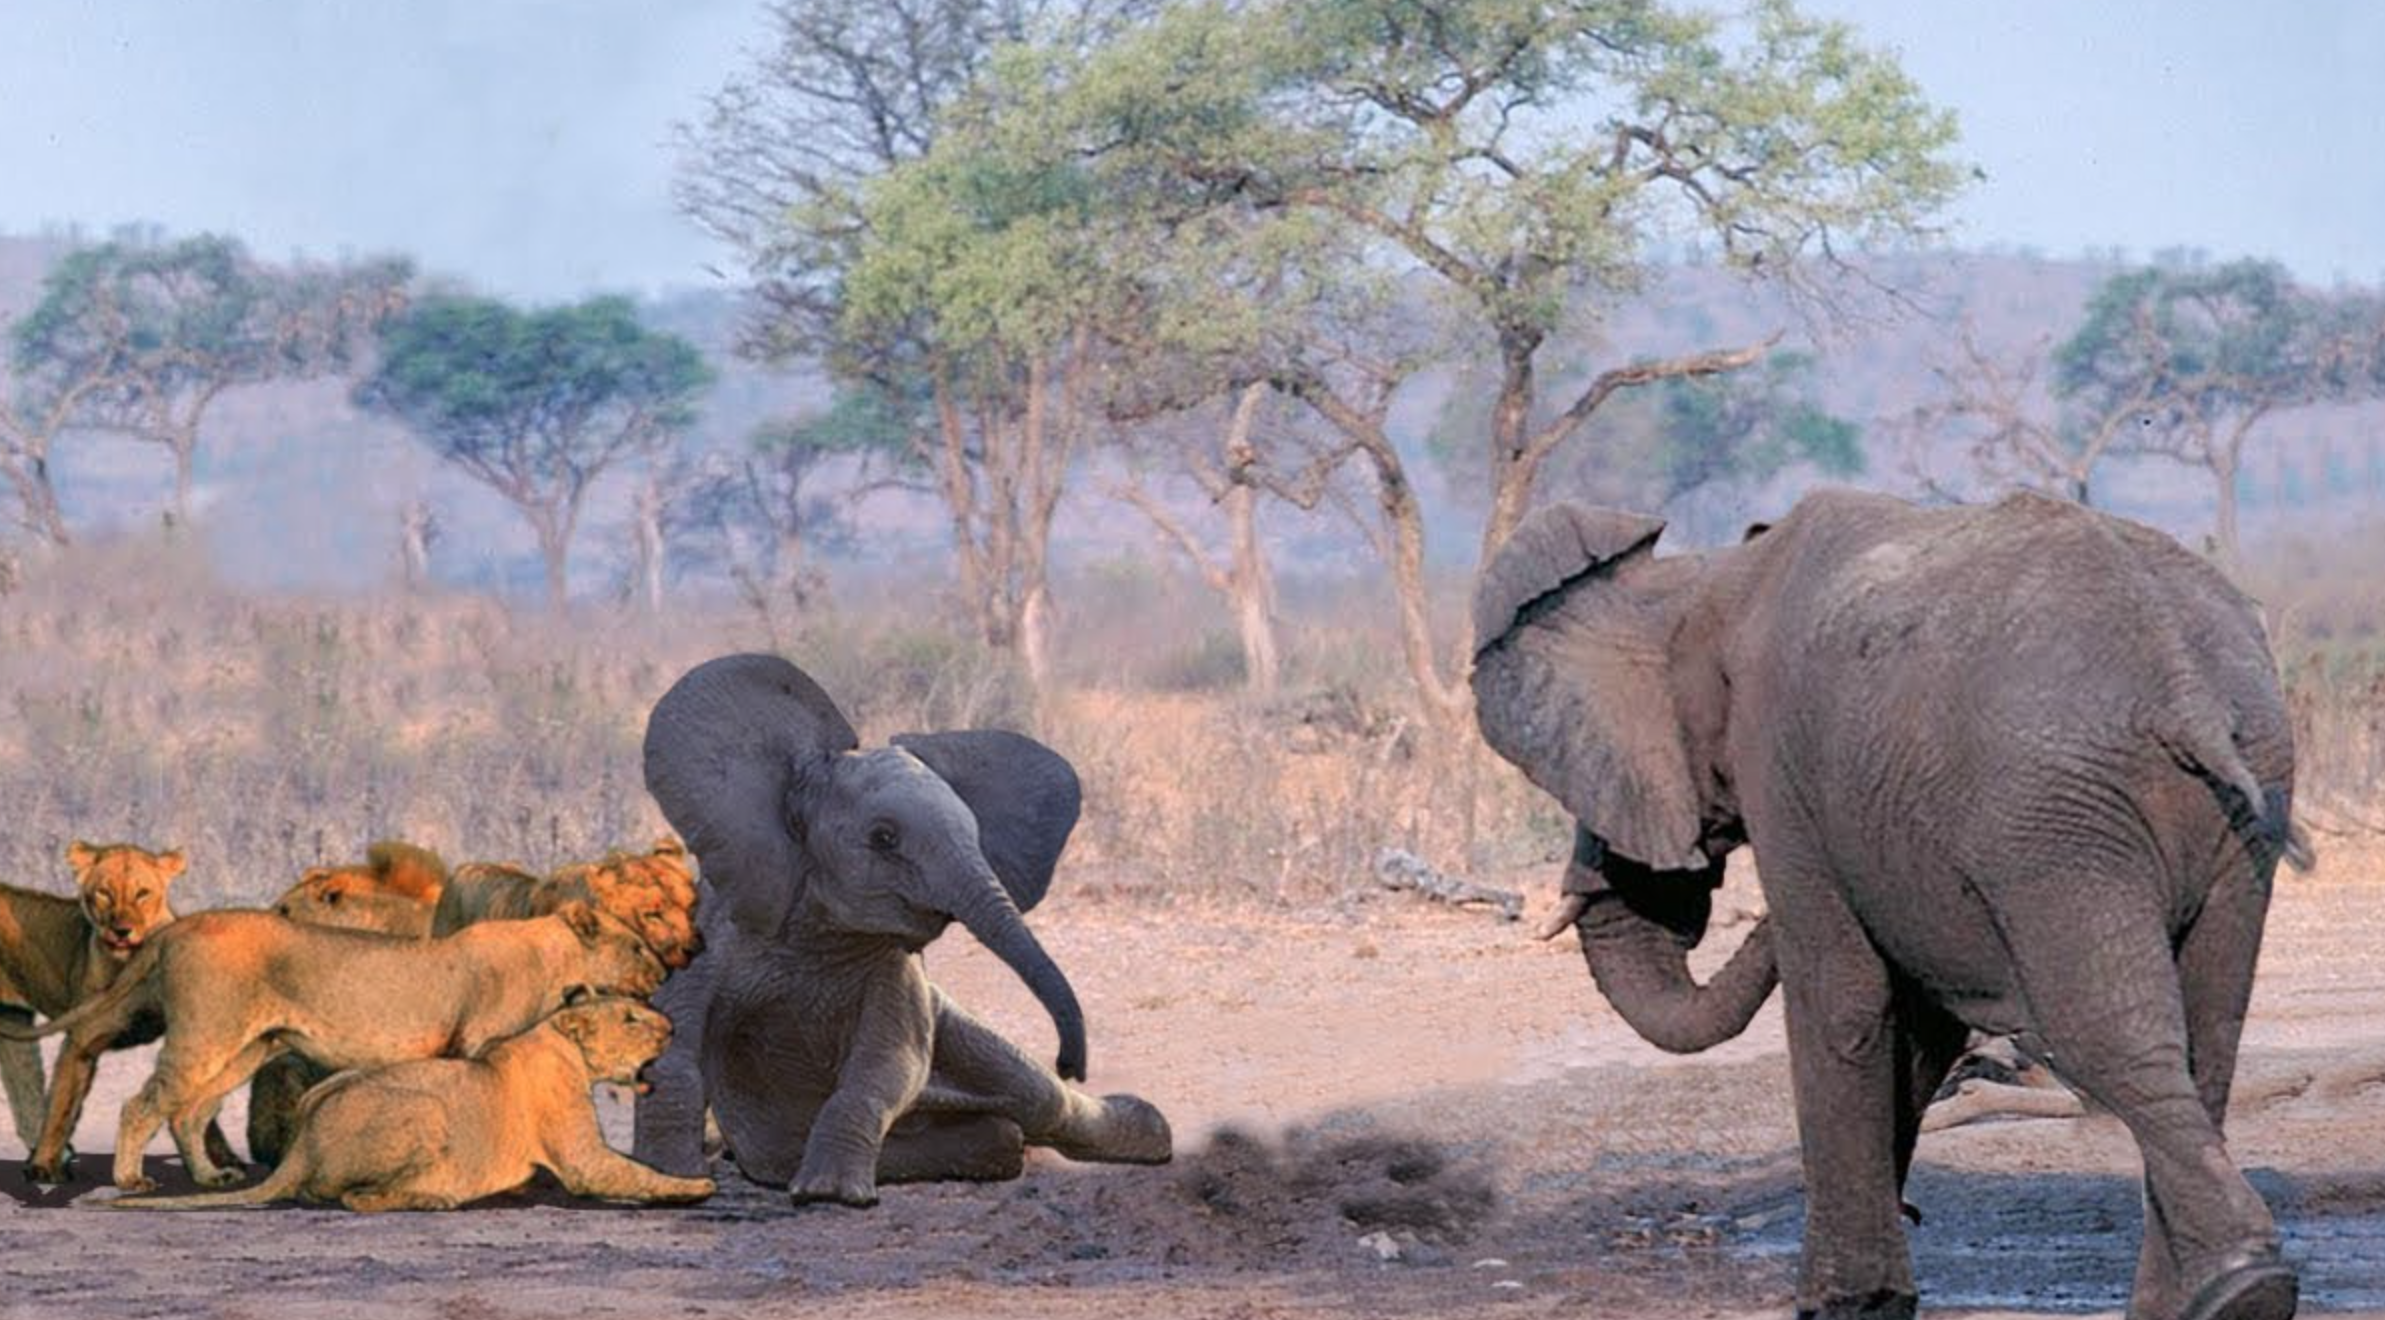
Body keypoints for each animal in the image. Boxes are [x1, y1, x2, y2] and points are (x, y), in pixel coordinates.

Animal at [9, 902, 667, 1188]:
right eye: (636, 945)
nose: (665, 971)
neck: (555, 958)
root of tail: (180, 925)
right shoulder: (478, 1040)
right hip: (204, 1037)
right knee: (142, 1105)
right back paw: (129, 1181)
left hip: (245, 1049)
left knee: (189, 1113)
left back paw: (211, 1177)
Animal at [113, 992, 705, 1207]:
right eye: (630, 1018)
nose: (672, 1027)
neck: (556, 1037)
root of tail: (304, 1145)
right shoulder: (582, 1159)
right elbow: (631, 1172)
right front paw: (695, 1186)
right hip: (427, 1111)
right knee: (349, 1197)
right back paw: (436, 1198)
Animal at [624, 649, 1163, 1203]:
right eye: (884, 838)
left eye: (977, 835)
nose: (1070, 1063)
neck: (817, 928)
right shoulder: (709, 934)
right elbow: (673, 1045)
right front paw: (670, 1183)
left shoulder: (897, 971)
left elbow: (886, 1065)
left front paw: (831, 1195)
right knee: (1005, 1127)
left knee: (1040, 1100)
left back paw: (1148, 1137)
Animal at [1469, 486, 2308, 1317]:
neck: (1708, 577)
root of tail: (2184, 684)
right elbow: (1918, 1024)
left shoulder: (1782, 773)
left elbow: (1841, 1001)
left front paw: (1842, 1301)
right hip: (2237, 804)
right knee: (2207, 1034)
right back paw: (2210, 1296)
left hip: (2054, 822)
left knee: (2106, 1034)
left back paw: (2246, 1289)